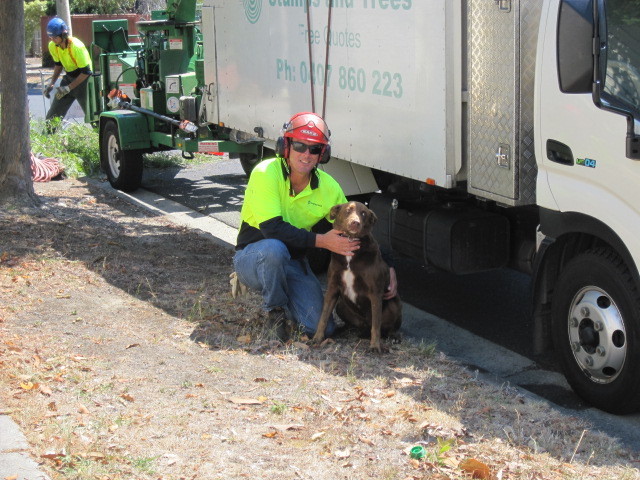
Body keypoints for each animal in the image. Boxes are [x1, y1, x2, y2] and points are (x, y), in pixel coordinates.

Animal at [312, 201, 402, 350]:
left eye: (364, 213)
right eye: (348, 210)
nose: (355, 222)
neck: (350, 242)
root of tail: (364, 327)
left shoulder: (375, 292)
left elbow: (376, 325)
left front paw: (375, 346)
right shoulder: (332, 288)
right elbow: (323, 317)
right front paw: (317, 338)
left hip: (394, 304)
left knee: (387, 327)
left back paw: (393, 336)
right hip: (341, 305)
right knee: (352, 324)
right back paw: (341, 330)